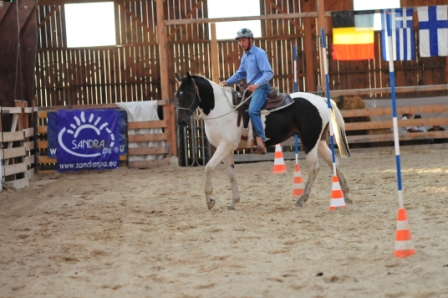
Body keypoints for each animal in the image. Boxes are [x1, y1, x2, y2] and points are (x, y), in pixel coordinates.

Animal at [173, 73, 352, 210]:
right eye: (177, 95)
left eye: (188, 94)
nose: (181, 121)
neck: (221, 108)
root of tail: (322, 100)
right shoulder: (226, 149)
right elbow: (231, 175)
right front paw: (233, 202)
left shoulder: (224, 146)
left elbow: (209, 168)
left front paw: (210, 200)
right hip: (319, 141)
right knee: (334, 163)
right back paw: (346, 195)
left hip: (310, 141)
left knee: (314, 168)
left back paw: (302, 199)